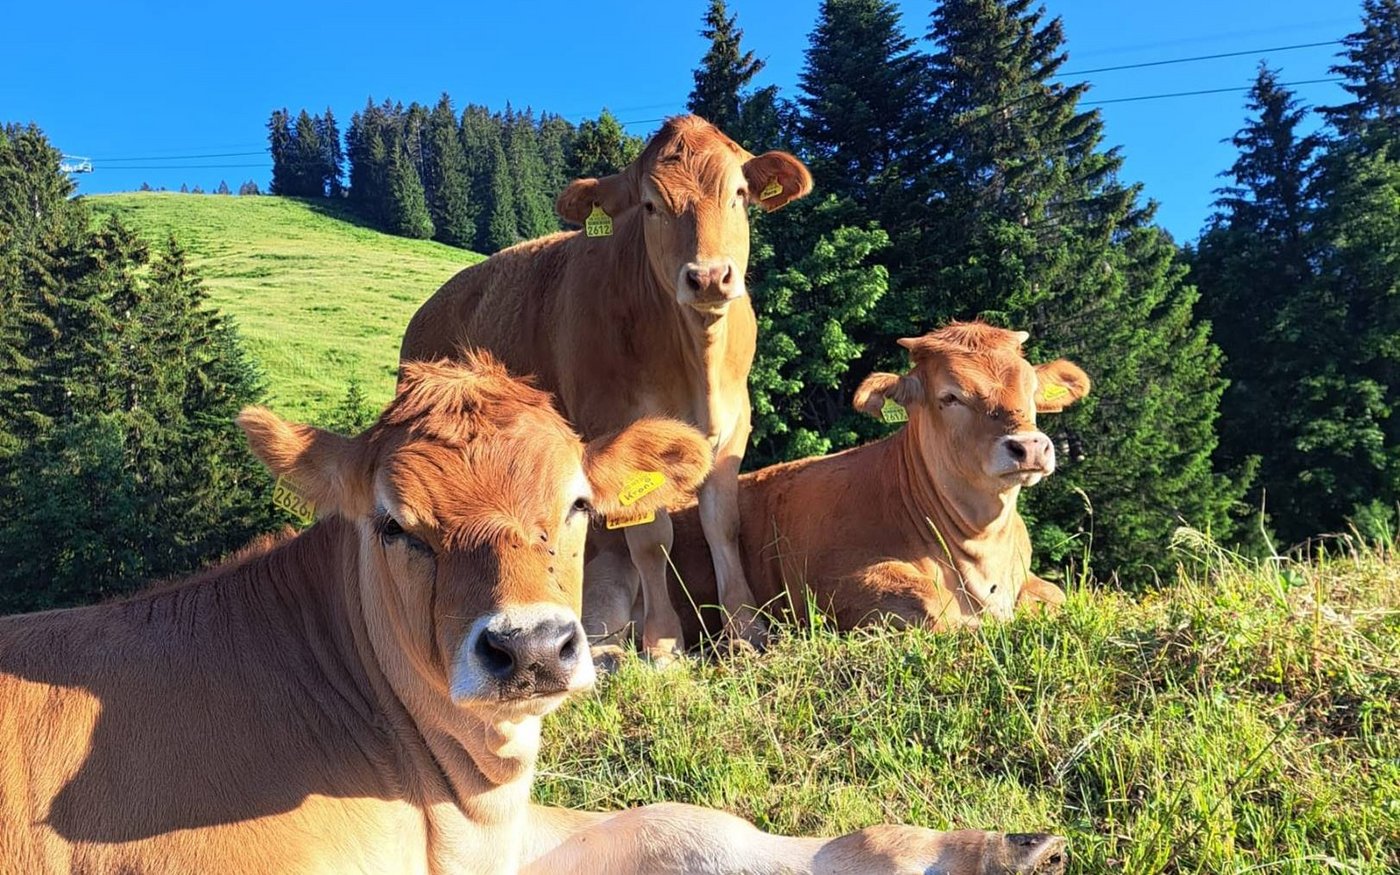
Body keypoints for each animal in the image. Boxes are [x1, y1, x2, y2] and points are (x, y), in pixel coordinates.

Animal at [400, 115, 813, 663]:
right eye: (651, 205)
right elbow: (650, 539)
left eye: (739, 194)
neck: (694, 364)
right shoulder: (619, 431)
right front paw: (663, 642)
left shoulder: (733, 426)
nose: (708, 277)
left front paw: (747, 630)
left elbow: (722, 525)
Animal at [586, 322, 1090, 642]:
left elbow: (1055, 593)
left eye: (1031, 389)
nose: (1029, 446)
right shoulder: (829, 584)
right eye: (950, 396)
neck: (981, 554)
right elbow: (931, 602)